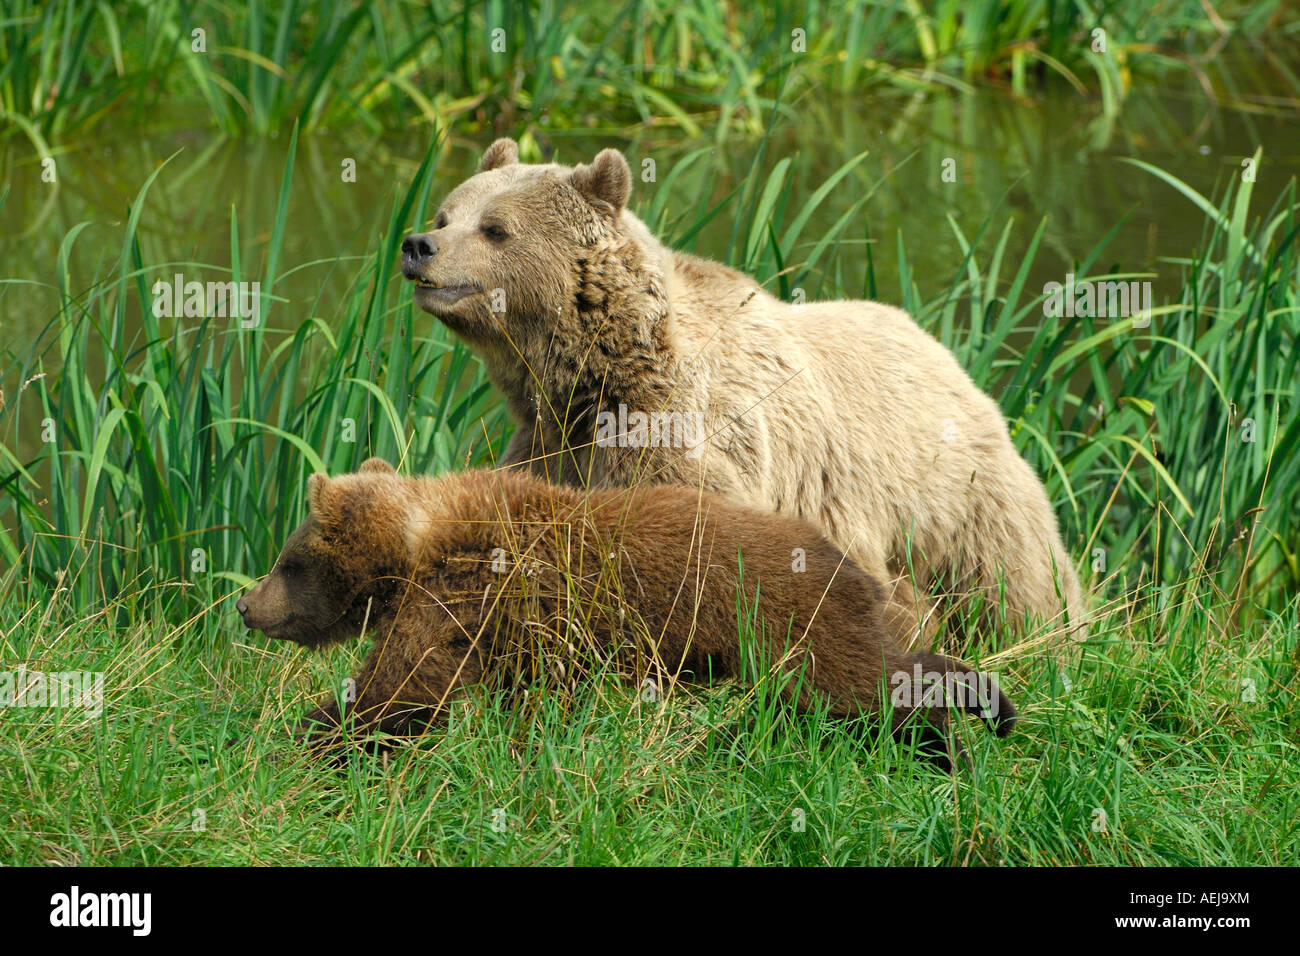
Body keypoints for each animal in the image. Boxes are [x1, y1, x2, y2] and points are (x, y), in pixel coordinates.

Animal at [241, 457, 1013, 770]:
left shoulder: (465, 596)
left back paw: (972, 719)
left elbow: (401, 688)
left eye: (288, 558)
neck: (417, 546)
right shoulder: (525, 635)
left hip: (785, 621)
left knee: (858, 688)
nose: (247, 604)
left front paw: (307, 737)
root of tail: (847, 559)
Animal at [397, 138, 1086, 647]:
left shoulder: (686, 437)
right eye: (446, 214)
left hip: (960, 495)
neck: (595, 374)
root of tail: (945, 350)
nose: (417, 245)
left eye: (495, 229)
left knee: (1015, 585)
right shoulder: (551, 442)